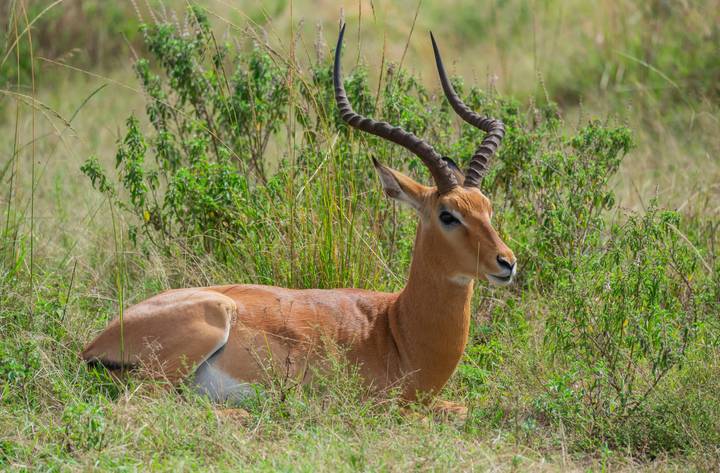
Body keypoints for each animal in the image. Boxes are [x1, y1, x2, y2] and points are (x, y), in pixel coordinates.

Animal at [81, 24, 516, 413]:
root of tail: (95, 343)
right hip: (197, 337)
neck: (395, 331)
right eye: (448, 215)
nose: (507, 262)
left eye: (487, 207)